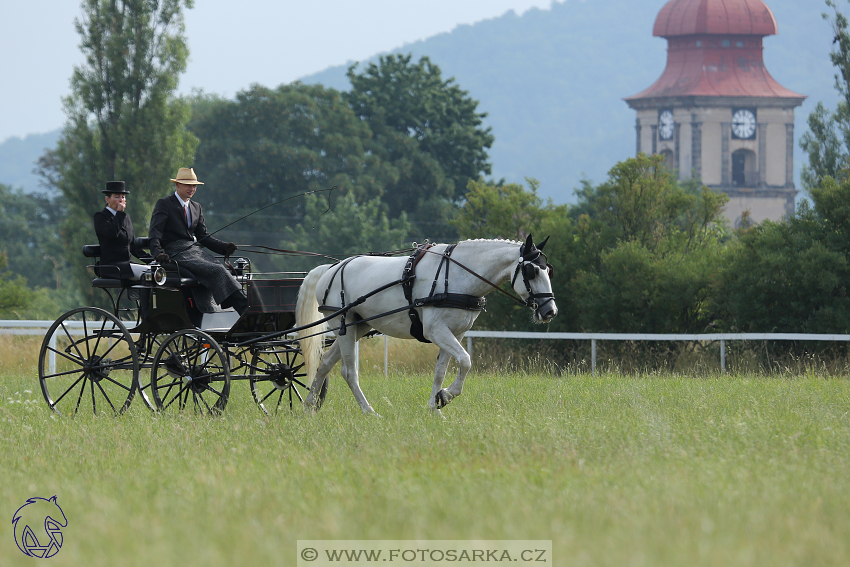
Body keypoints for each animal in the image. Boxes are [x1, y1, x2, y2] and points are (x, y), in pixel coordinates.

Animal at [294, 233, 556, 414]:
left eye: (548, 270)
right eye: (531, 271)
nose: (550, 311)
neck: (457, 277)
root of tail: (331, 268)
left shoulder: (455, 334)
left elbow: (441, 370)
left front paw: (435, 406)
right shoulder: (436, 331)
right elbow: (466, 361)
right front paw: (447, 395)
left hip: (357, 327)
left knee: (324, 364)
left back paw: (308, 407)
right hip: (344, 325)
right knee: (348, 372)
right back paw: (368, 411)